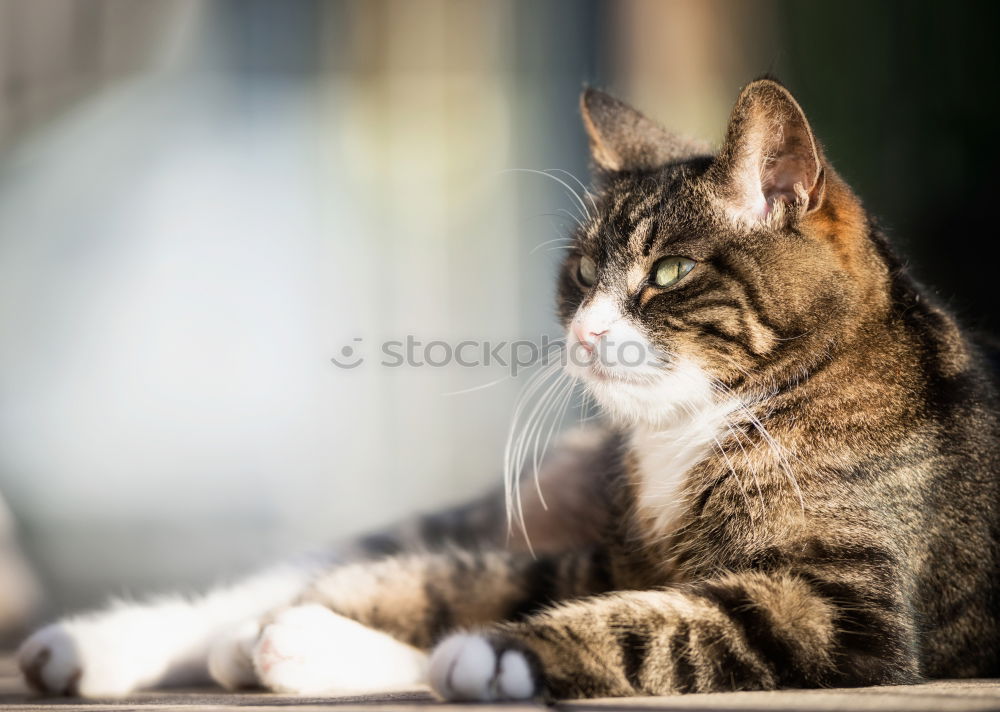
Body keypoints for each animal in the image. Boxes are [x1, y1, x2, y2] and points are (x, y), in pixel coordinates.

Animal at [15, 78, 1000, 700]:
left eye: (669, 273)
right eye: (582, 274)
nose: (584, 330)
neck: (695, 428)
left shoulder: (844, 613)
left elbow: (656, 626)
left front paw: (495, 656)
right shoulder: (604, 557)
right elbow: (453, 587)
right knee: (324, 570)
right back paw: (105, 646)